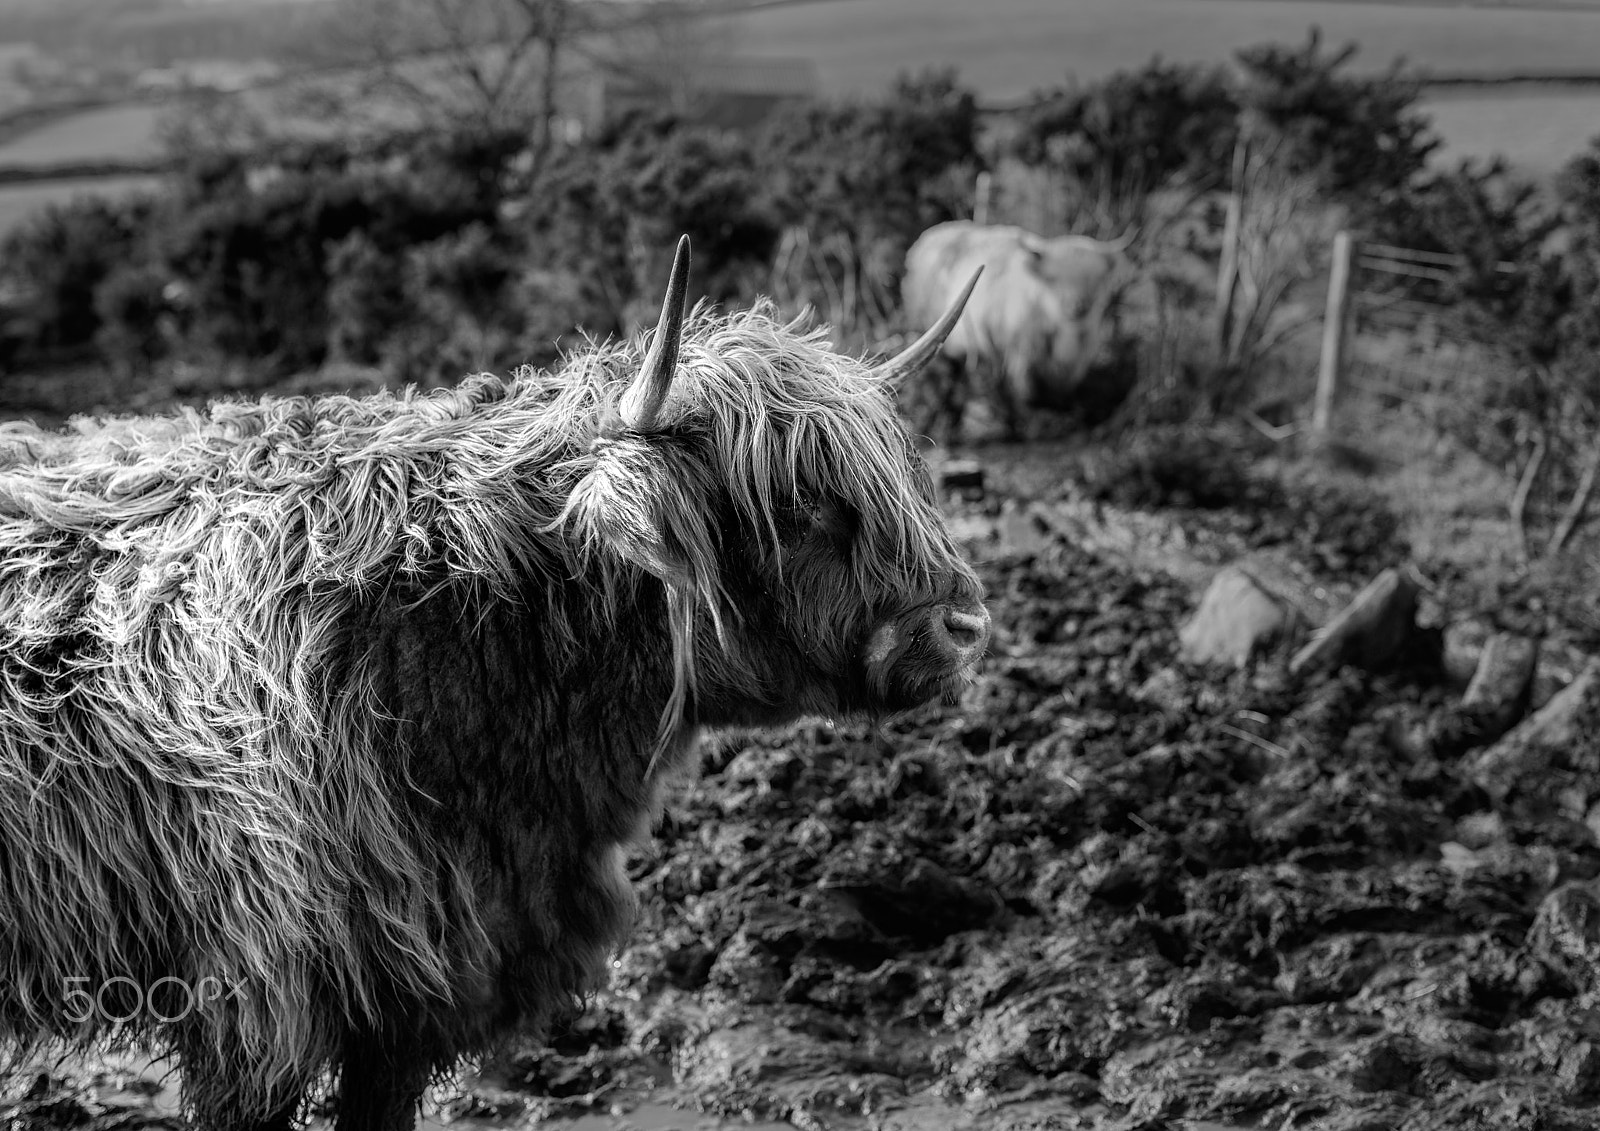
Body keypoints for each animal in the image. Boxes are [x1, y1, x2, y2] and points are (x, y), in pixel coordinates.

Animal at [900, 220, 1132, 441]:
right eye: (1053, 278)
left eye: (1096, 278)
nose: (1078, 306)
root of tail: (927, 236)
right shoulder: (1014, 350)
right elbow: (1022, 391)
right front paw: (1032, 425)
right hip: (929, 332)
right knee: (942, 379)